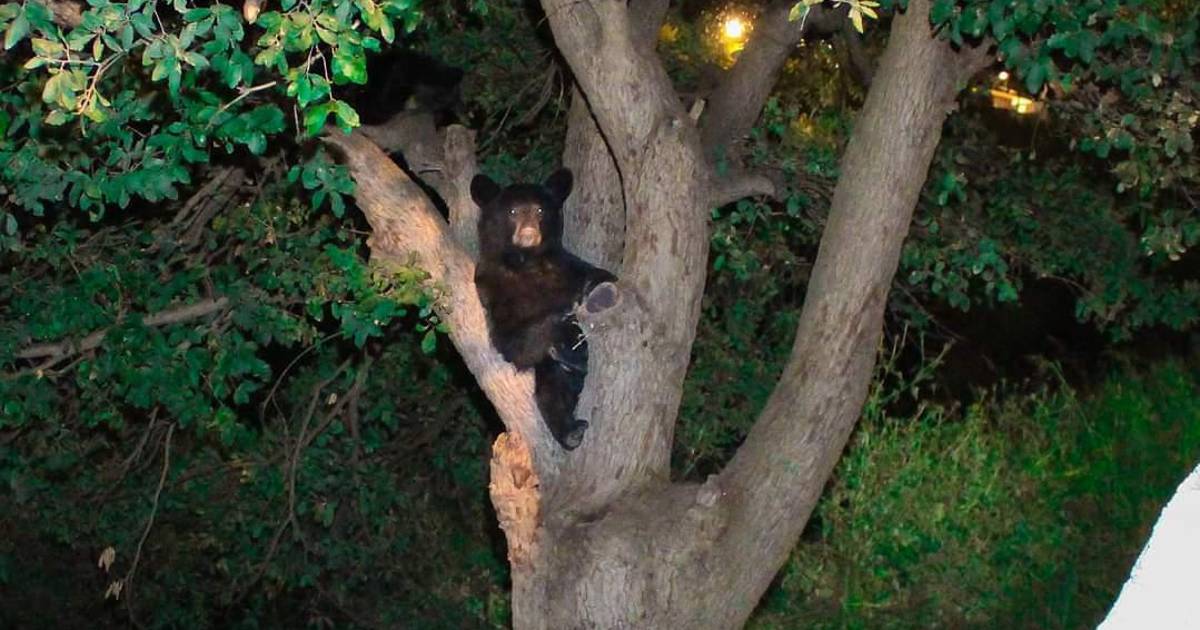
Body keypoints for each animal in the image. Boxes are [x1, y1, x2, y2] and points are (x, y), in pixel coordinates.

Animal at [471, 169, 616, 450]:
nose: (529, 230)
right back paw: (570, 430)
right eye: (513, 211)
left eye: (539, 210)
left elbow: (600, 277)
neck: (526, 263)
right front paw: (568, 332)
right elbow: (511, 341)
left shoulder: (566, 267)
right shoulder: (492, 288)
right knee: (551, 385)